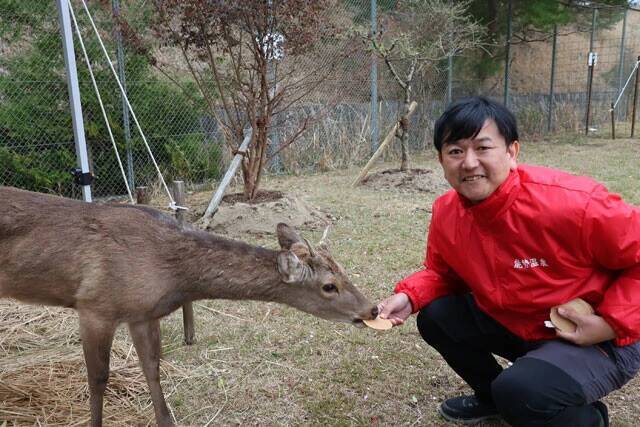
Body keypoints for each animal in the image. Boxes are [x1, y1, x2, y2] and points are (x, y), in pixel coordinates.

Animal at [0, 186, 378, 427]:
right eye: (329, 286)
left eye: (344, 271)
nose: (372, 309)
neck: (171, 275)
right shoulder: (95, 305)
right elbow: (98, 379)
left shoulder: (142, 313)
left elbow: (153, 368)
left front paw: (166, 420)